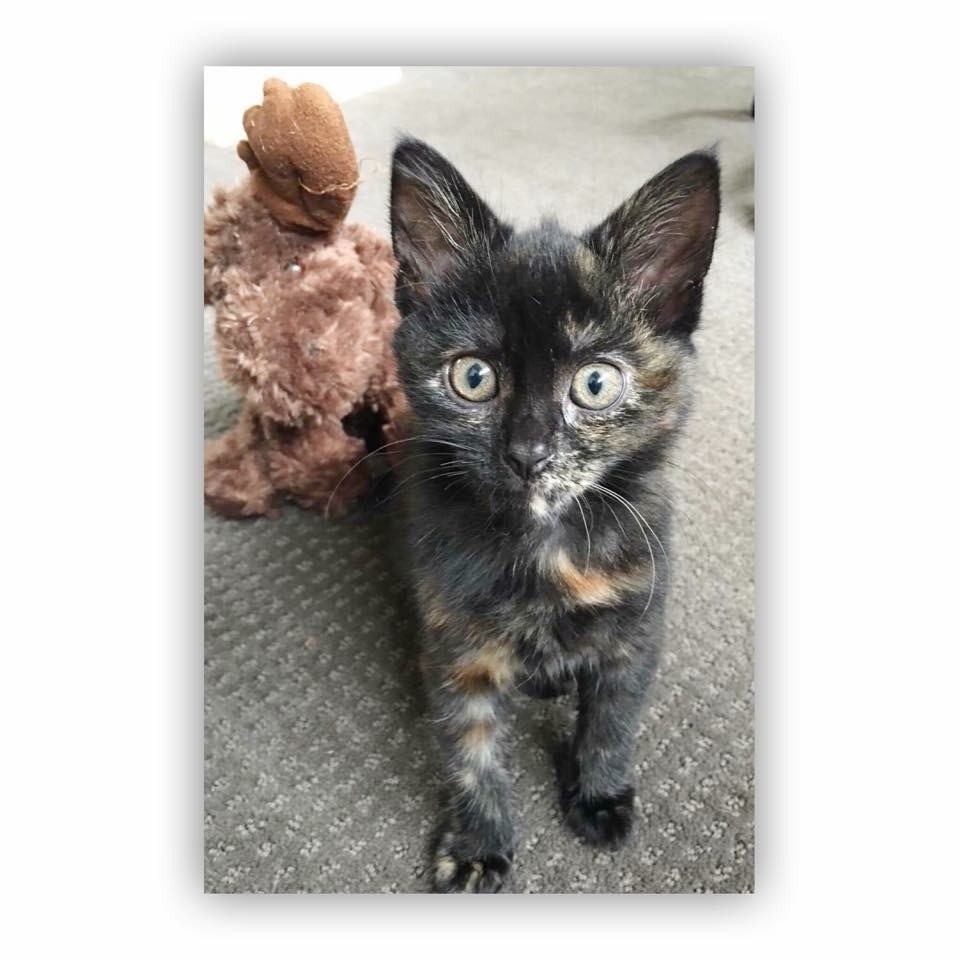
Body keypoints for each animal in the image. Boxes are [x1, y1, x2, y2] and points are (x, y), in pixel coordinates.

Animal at [389, 136, 720, 893]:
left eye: (595, 383)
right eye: (473, 377)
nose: (528, 453)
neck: (544, 546)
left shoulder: (637, 625)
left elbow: (613, 722)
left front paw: (598, 795)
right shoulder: (456, 647)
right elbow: (470, 750)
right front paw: (478, 843)